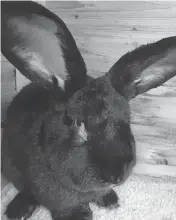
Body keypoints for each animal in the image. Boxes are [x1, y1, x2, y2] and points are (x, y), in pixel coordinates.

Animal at [1, 0, 176, 220]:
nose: (117, 175)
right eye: (79, 124)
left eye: (127, 119)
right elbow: (64, 206)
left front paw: (110, 201)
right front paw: (80, 216)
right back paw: (19, 210)